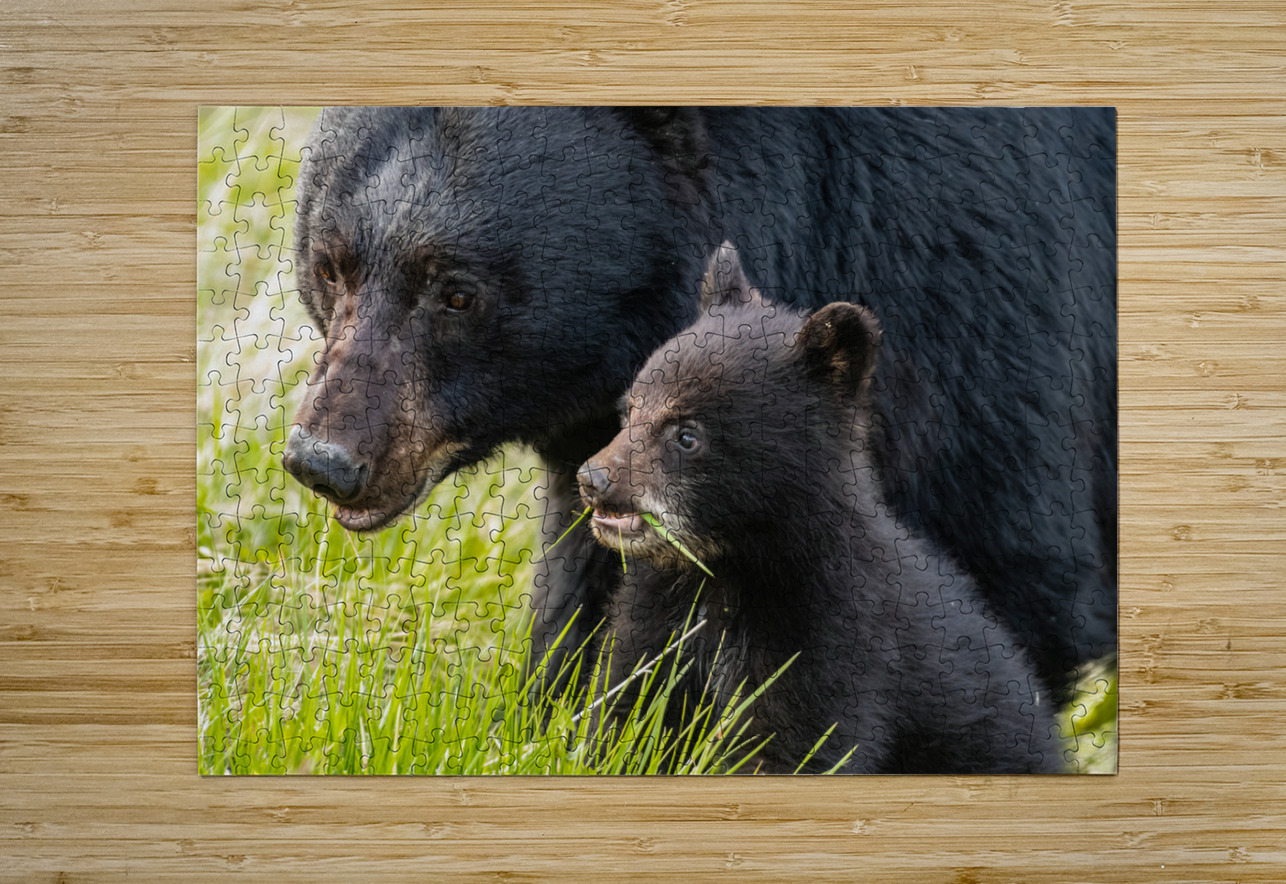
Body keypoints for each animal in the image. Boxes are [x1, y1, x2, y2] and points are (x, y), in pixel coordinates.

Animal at [280, 107, 1116, 699]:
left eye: (457, 293)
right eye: (330, 266)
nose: (324, 460)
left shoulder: (974, 303)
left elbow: (1003, 577)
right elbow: (599, 583)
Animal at [576, 246, 1066, 774]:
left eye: (687, 434)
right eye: (630, 409)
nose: (593, 478)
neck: (727, 570)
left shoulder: (833, 633)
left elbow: (800, 742)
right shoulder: (656, 615)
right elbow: (626, 707)